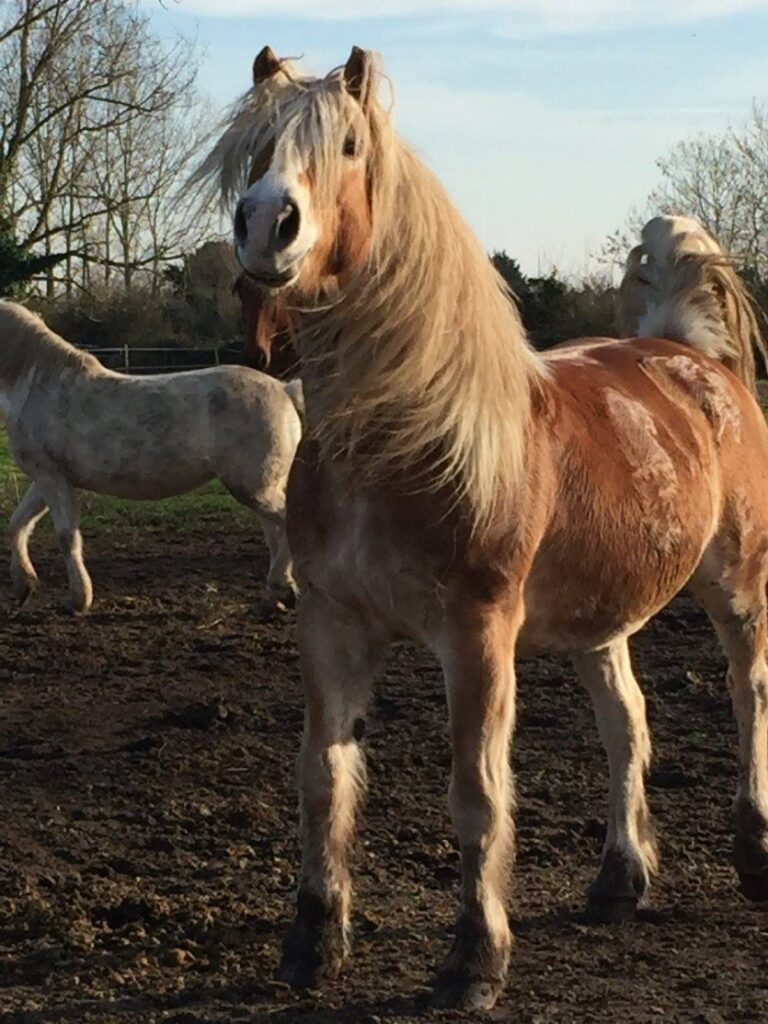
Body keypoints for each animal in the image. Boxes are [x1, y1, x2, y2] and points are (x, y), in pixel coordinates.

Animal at [0, 299, 303, 610]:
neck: (37, 384)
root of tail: (284, 389)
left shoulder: (53, 478)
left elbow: (66, 538)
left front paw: (79, 599)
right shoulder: (45, 480)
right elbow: (17, 523)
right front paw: (25, 584)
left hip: (254, 488)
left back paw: (280, 586)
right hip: (263, 487)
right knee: (274, 534)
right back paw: (277, 595)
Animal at [195, 48, 768, 1007]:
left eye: (348, 146)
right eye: (256, 151)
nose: (267, 226)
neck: (405, 436)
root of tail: (690, 357)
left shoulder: (476, 634)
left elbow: (476, 792)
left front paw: (474, 960)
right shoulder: (330, 622)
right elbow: (323, 781)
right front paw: (312, 944)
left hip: (736, 587)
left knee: (747, 697)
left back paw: (753, 853)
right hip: (600, 620)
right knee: (628, 726)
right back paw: (619, 881)